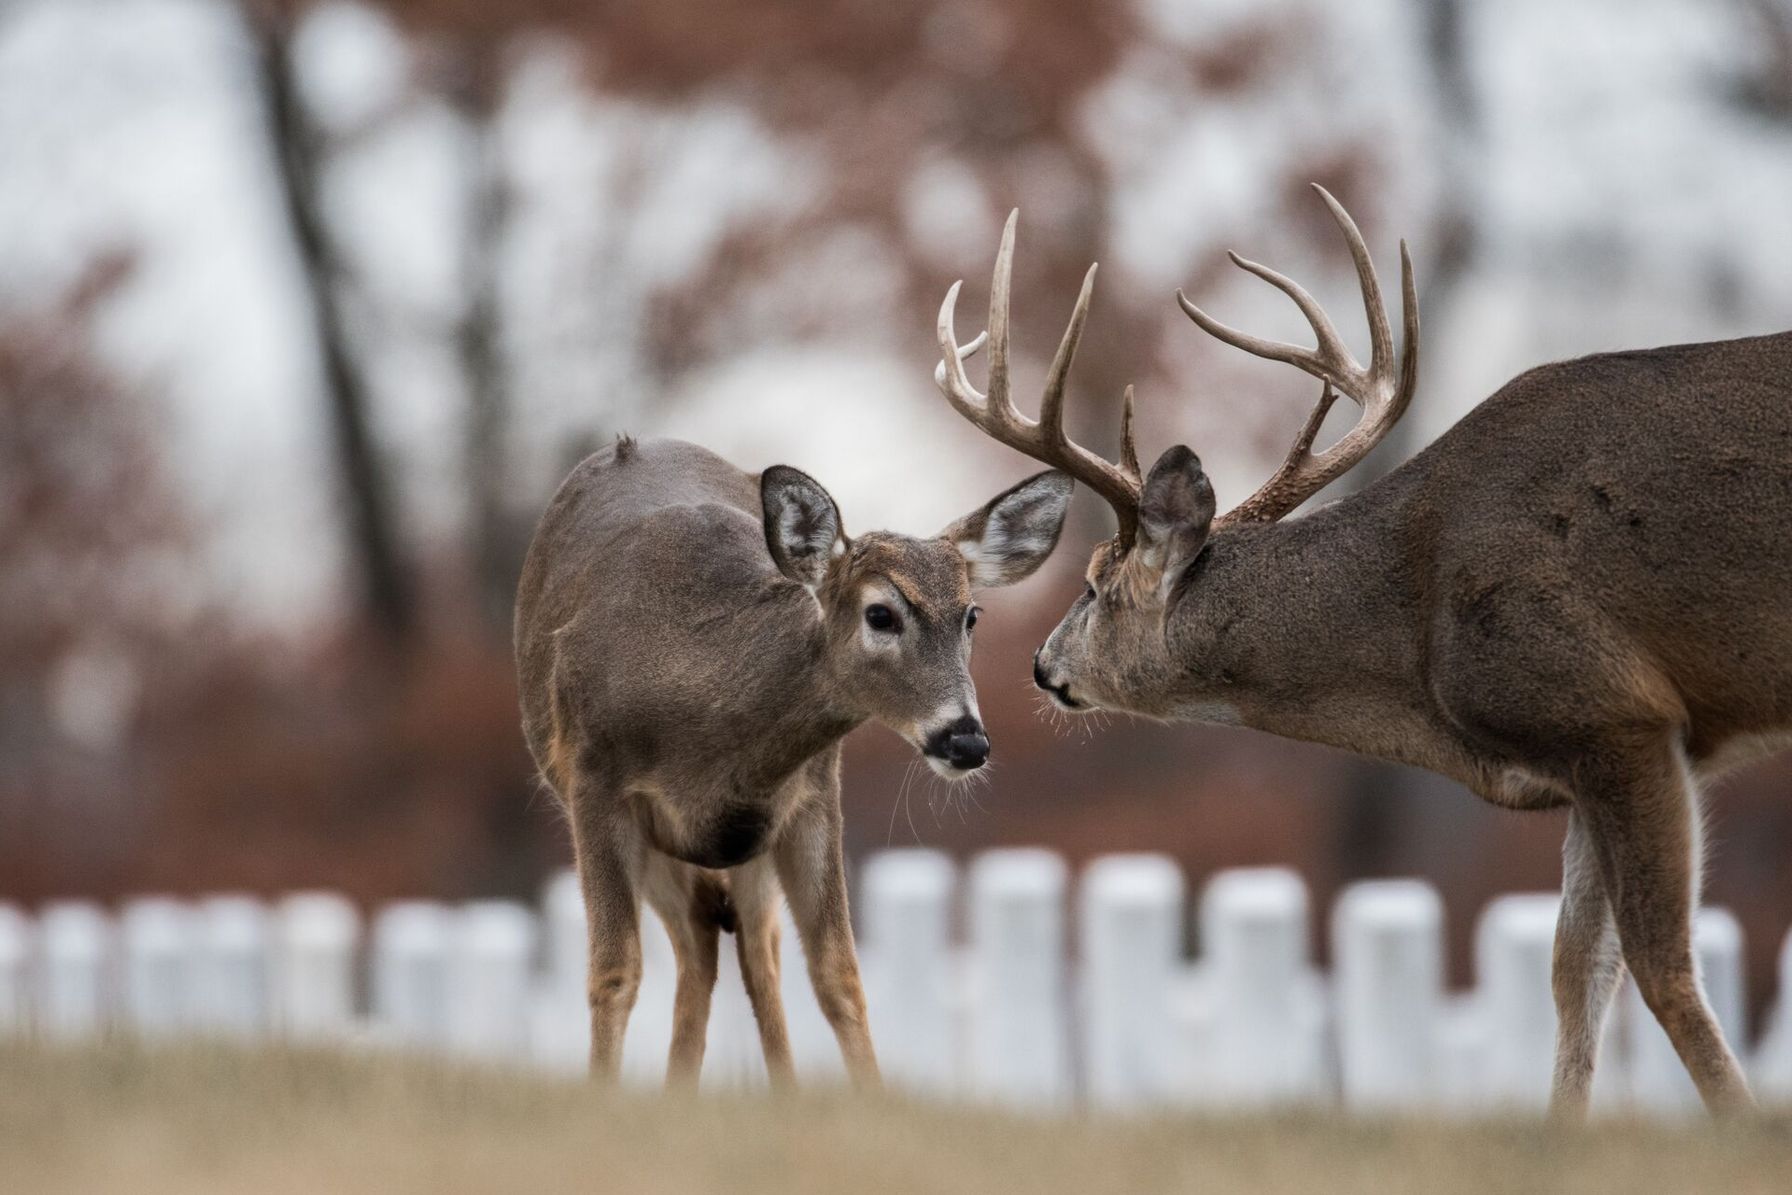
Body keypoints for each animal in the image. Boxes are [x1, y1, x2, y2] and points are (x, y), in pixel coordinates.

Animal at [514, 434, 1072, 1088]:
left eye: (971, 615)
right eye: (881, 614)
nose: (966, 740)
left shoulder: (811, 797)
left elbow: (840, 975)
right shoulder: (595, 786)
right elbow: (614, 973)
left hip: (749, 838)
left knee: (746, 949)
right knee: (700, 938)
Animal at [933, 188, 1792, 1118]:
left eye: (1094, 585)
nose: (1041, 664)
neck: (1414, 634)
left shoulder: (1618, 712)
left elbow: (1664, 971)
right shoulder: (1592, 756)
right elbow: (1576, 973)